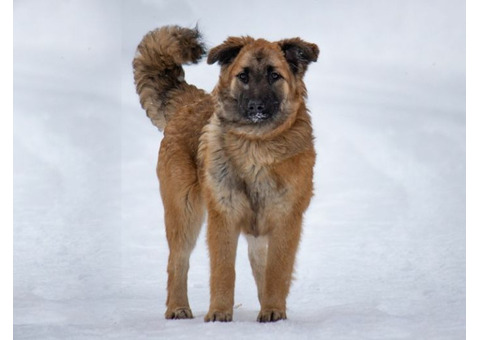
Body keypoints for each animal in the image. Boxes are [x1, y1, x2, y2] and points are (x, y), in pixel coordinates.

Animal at [132, 25, 318, 322]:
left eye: (274, 75)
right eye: (243, 76)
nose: (255, 107)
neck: (256, 147)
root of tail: (192, 101)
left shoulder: (286, 220)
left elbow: (277, 271)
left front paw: (274, 311)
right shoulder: (223, 216)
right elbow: (223, 270)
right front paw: (219, 313)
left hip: (256, 231)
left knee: (260, 266)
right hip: (184, 213)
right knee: (177, 261)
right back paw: (178, 307)